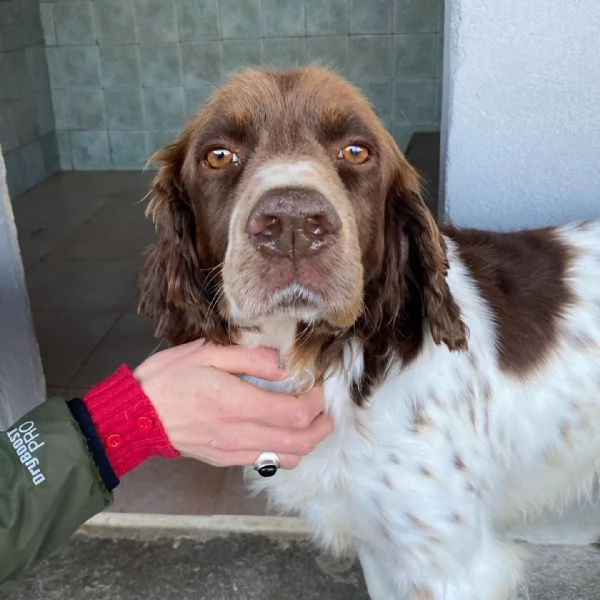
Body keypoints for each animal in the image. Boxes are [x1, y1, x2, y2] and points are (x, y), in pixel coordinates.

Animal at [138, 67, 600, 600]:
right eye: (218, 155)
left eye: (356, 151)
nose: (293, 224)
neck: (326, 358)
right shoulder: (379, 544)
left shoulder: (450, 564)